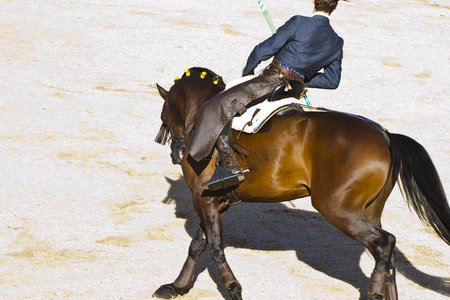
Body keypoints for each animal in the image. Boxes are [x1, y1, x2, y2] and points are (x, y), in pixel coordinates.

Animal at [153, 68, 448, 300]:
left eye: (164, 113)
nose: (176, 154)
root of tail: (385, 135)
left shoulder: (202, 198)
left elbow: (214, 245)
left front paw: (233, 289)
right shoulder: (217, 201)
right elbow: (198, 243)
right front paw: (177, 287)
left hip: (338, 209)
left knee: (385, 243)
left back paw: (373, 294)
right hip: (369, 211)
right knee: (387, 254)